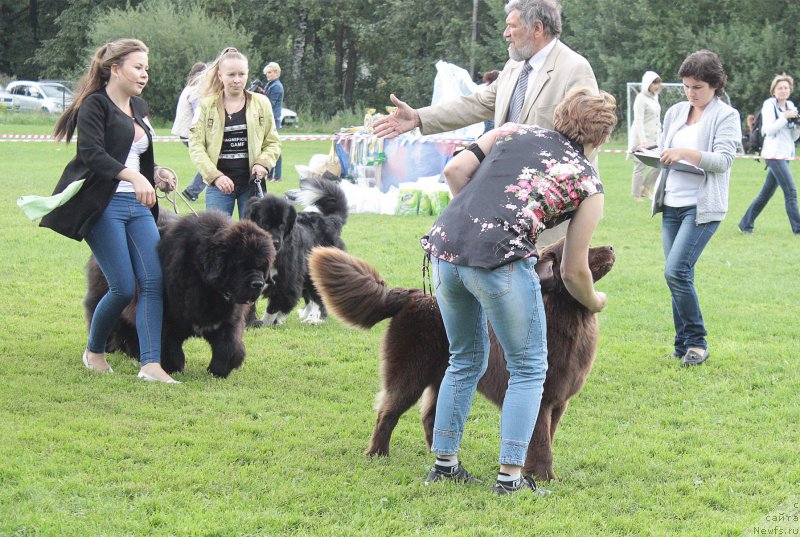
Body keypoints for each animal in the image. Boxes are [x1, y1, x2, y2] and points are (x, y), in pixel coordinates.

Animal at [85, 209, 276, 376]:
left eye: (262, 266)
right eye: (241, 264)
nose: (258, 283)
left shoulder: (227, 320)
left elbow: (228, 346)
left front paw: (218, 370)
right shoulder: (168, 319)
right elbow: (170, 346)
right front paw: (173, 368)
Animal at [245, 177, 348, 326]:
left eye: (282, 225)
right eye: (265, 224)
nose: (276, 242)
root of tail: (331, 220)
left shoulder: (286, 280)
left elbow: (276, 304)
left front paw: (266, 323)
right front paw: (249, 323)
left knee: (318, 296)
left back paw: (314, 319)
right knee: (310, 297)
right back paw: (305, 315)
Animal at [310, 239, 616, 478]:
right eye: (585, 249)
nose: (612, 247)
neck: (566, 313)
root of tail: (412, 297)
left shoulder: (558, 402)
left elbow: (544, 438)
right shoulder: (538, 396)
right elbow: (540, 442)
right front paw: (544, 477)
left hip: (445, 375)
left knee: (430, 416)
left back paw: (440, 455)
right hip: (411, 372)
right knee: (388, 411)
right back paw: (378, 454)